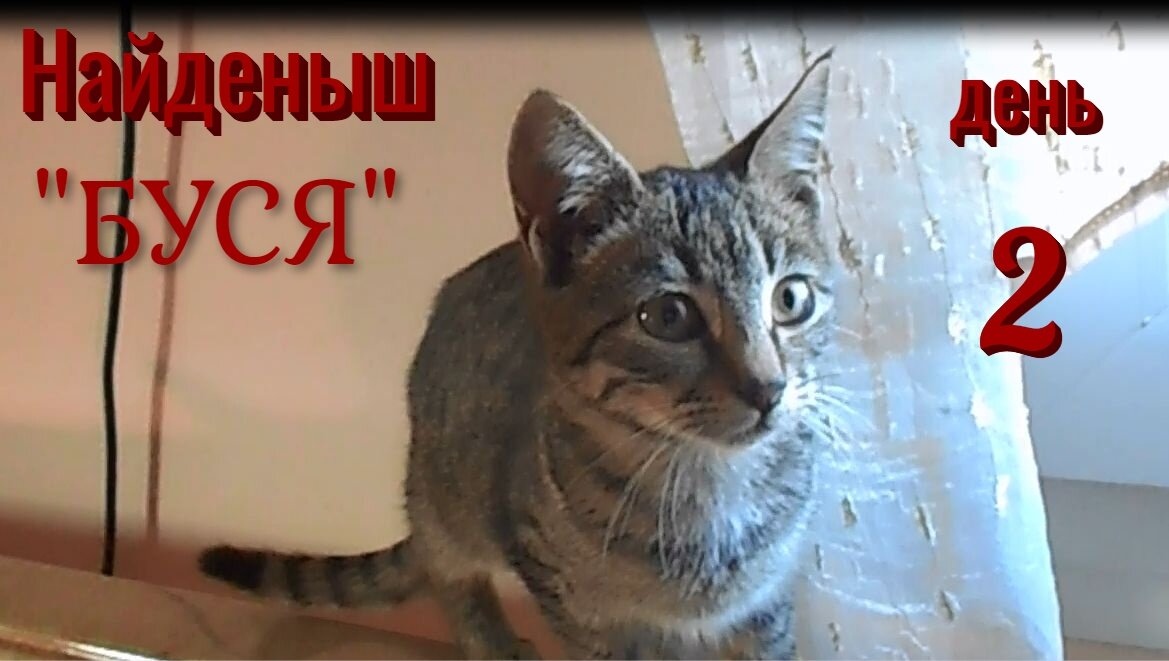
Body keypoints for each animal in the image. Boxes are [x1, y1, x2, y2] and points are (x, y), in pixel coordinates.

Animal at [198, 48, 841, 660]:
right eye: (668, 316)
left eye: (791, 299)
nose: (768, 389)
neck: (708, 486)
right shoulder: (568, 596)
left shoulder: (767, 604)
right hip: (444, 493)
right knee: (450, 573)